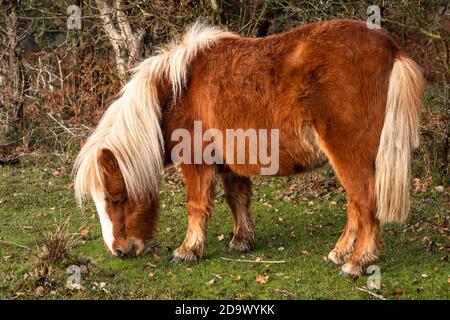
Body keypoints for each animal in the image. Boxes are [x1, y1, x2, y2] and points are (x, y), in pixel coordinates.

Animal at [72, 20, 424, 276]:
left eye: (116, 198)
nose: (119, 251)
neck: (179, 92)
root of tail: (390, 48)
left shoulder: (196, 161)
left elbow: (196, 205)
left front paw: (188, 250)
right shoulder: (229, 161)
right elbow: (237, 199)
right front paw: (242, 241)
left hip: (349, 154)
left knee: (365, 202)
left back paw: (357, 262)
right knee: (356, 204)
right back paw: (339, 253)